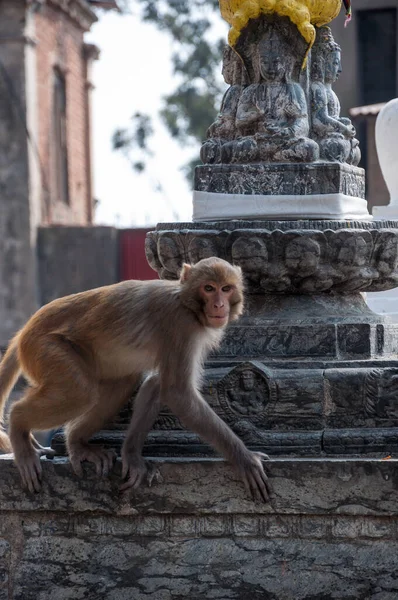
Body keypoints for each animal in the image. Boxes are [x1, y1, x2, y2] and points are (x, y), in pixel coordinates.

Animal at [0, 258, 270, 502]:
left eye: (226, 288)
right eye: (209, 288)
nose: (219, 304)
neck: (187, 303)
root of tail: (25, 331)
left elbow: (157, 385)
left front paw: (131, 455)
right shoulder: (180, 326)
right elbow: (177, 392)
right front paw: (244, 459)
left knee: (122, 383)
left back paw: (77, 443)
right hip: (46, 348)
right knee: (80, 393)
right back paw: (19, 428)